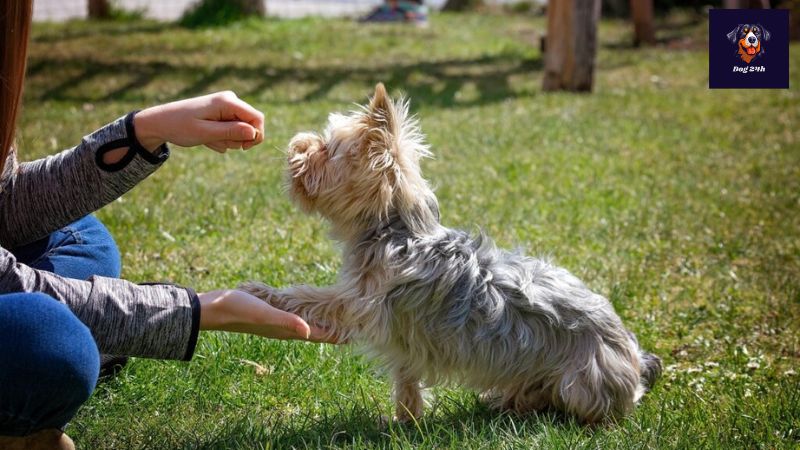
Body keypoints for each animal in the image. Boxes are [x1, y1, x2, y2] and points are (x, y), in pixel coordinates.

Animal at [241, 84, 660, 426]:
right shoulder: (401, 337)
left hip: (582, 382)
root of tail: (634, 356)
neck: (394, 229)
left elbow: (310, 296)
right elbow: (407, 379)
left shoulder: (361, 303)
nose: (297, 145)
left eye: (327, 149)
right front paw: (405, 421)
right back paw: (506, 401)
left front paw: (261, 292)